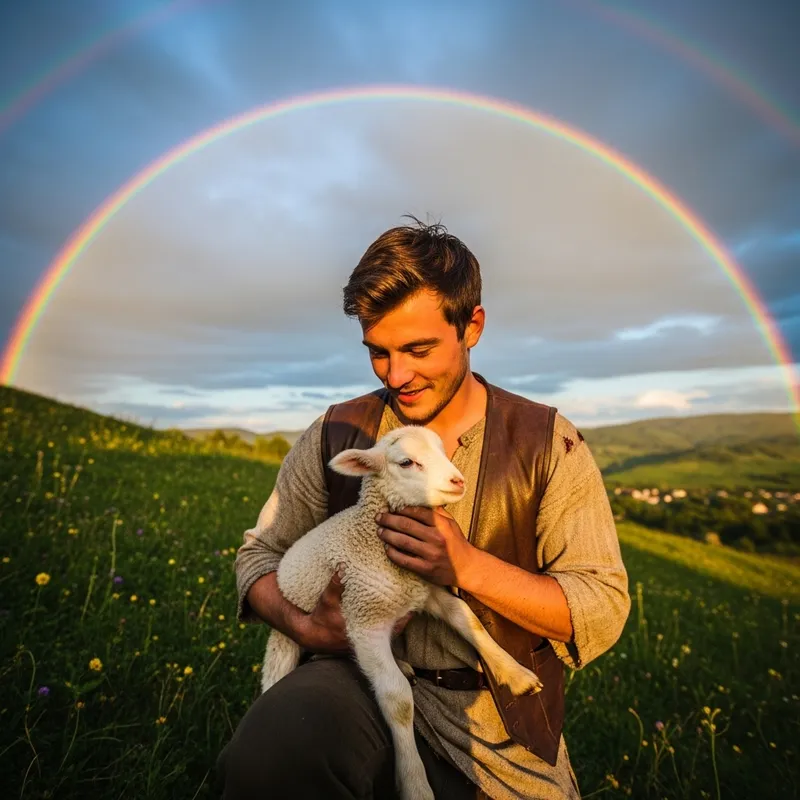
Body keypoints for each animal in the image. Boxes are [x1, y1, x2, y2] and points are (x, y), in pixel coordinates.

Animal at [260, 424, 543, 800]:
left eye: (441, 451)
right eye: (407, 462)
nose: (457, 481)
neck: (372, 538)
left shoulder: (424, 589)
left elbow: (467, 618)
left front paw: (515, 674)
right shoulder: (363, 617)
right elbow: (398, 700)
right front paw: (415, 784)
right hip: (288, 635)